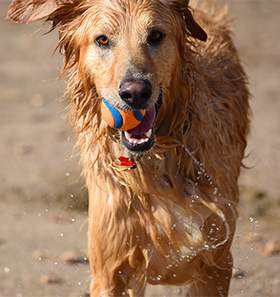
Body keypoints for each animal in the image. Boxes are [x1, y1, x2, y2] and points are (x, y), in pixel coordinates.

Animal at [7, 0, 250, 294]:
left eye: (155, 35)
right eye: (102, 40)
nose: (135, 93)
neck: (155, 164)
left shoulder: (216, 263)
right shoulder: (110, 270)